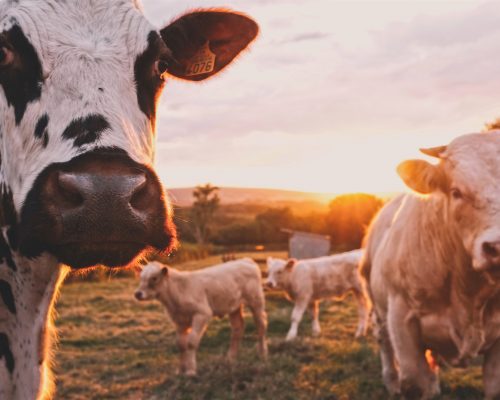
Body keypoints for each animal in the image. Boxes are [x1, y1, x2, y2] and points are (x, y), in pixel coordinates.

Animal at [135, 258, 268, 376]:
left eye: (154, 278)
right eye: (141, 277)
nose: (137, 294)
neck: (178, 292)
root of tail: (246, 260)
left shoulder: (202, 313)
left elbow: (191, 342)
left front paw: (190, 370)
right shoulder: (179, 321)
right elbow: (181, 344)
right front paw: (180, 370)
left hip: (256, 300)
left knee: (261, 324)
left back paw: (262, 353)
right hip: (234, 306)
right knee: (237, 328)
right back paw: (231, 357)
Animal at [360, 132, 500, 400]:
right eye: (456, 192)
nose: (497, 246)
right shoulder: (402, 319)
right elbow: (415, 382)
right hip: (378, 307)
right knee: (384, 342)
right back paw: (391, 381)